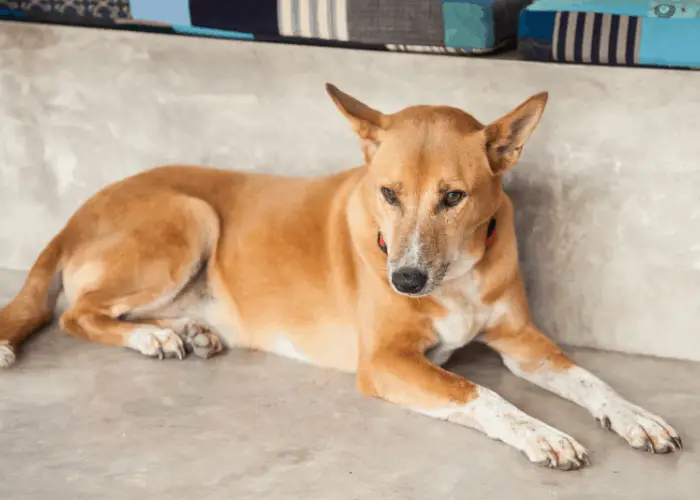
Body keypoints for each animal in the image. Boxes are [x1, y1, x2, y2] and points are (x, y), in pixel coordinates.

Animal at [0, 84, 680, 470]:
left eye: (453, 197)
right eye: (388, 193)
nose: (405, 280)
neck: (454, 275)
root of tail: (76, 213)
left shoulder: (524, 342)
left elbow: (591, 381)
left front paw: (636, 417)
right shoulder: (384, 361)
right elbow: (481, 394)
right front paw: (541, 433)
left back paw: (186, 330)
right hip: (190, 217)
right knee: (75, 313)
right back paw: (155, 337)